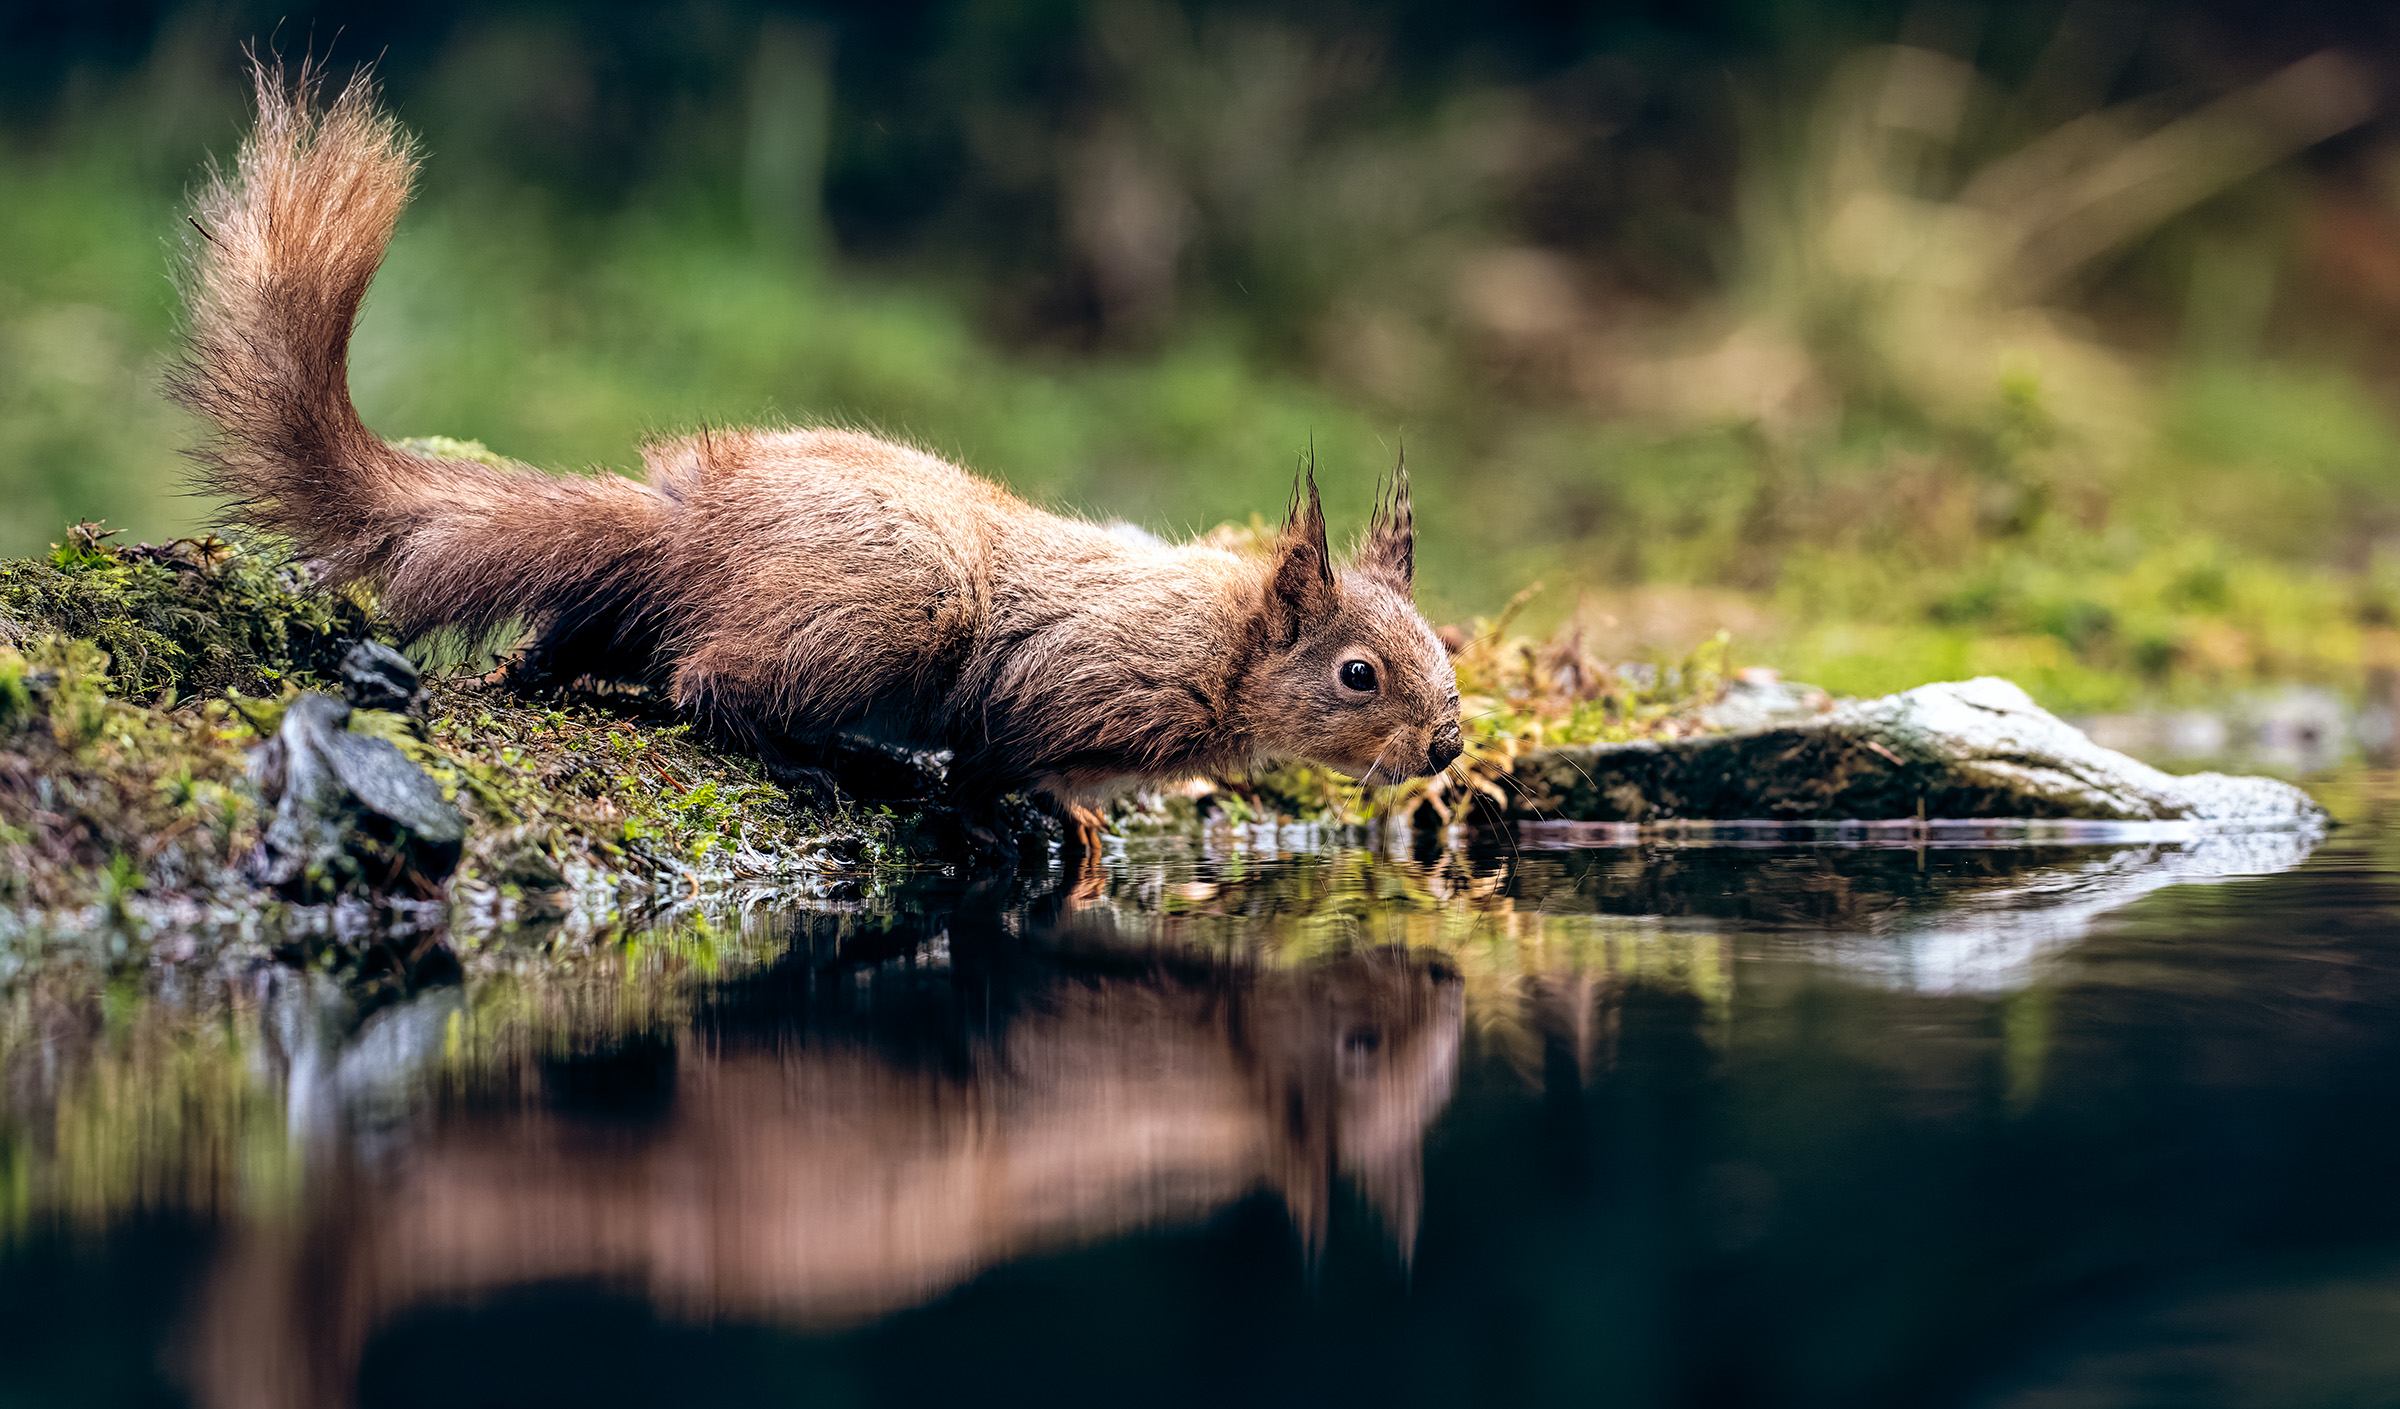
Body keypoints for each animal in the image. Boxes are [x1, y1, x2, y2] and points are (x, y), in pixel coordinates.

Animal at [169, 61, 1464, 852]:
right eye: (1359, 674)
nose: (1449, 743)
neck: (1222, 646)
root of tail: (694, 523)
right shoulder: (1074, 680)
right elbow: (993, 757)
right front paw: (1031, 820)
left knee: (596, 633)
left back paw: (546, 666)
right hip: (895, 603)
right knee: (707, 682)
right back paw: (812, 759)